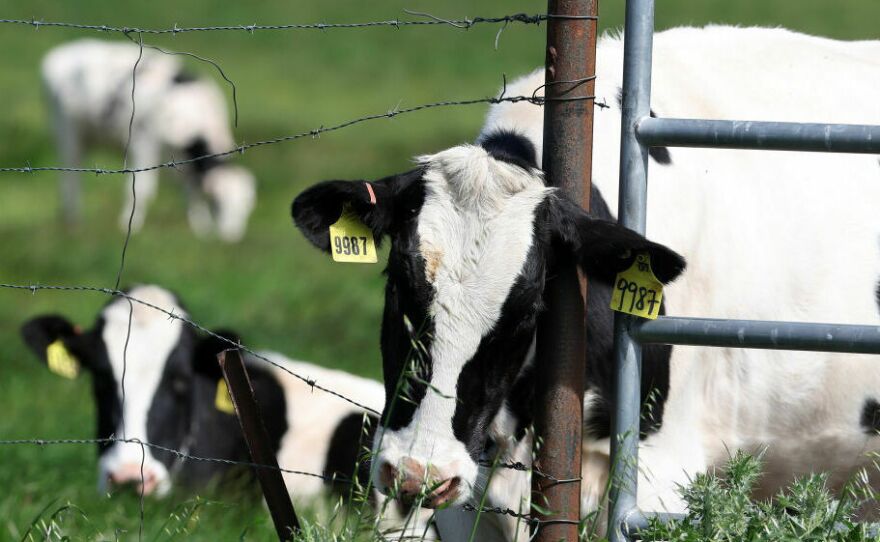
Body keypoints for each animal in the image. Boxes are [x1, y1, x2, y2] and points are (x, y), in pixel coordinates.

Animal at [41, 39, 256, 242]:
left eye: (246, 207)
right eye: (217, 203)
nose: (231, 237)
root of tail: (61, 53)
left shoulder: (183, 163)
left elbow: (191, 193)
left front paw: (201, 229)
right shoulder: (143, 143)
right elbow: (142, 189)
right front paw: (129, 226)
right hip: (67, 132)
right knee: (70, 179)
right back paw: (73, 222)